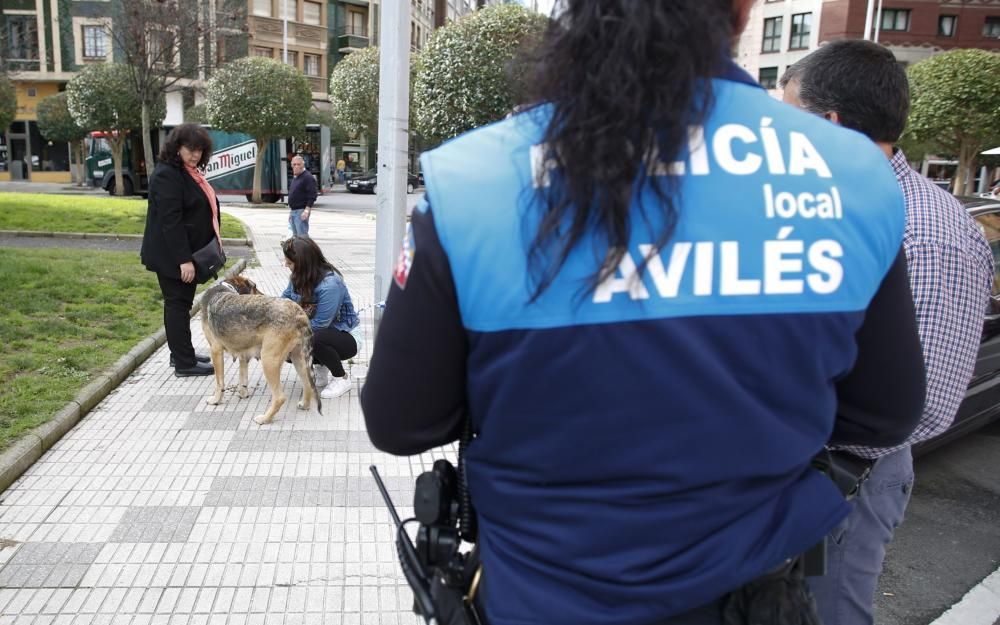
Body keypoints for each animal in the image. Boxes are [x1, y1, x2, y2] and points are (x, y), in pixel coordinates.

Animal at [197, 274, 318, 424]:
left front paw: (216, 400)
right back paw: (305, 405)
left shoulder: (215, 351)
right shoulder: (243, 354)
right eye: (254, 287)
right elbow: (242, 378)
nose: (263, 294)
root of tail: (299, 313)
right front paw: (243, 394)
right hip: (298, 358)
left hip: (269, 360)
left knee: (280, 397)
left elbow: (219, 382)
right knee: (308, 384)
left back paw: (265, 418)